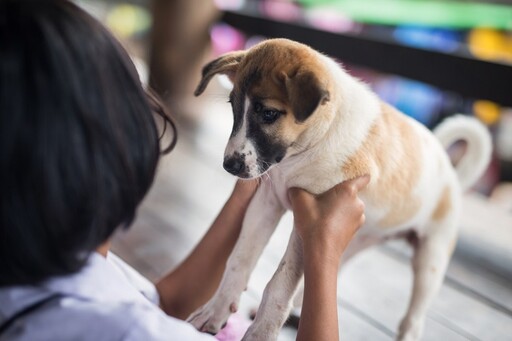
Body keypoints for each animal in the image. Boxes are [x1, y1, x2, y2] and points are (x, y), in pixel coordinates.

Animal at [187, 38, 492, 338]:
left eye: (269, 114)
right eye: (234, 108)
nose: (230, 165)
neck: (312, 144)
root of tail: (451, 173)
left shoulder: (309, 219)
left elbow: (278, 286)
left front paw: (261, 333)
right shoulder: (268, 203)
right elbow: (239, 259)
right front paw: (215, 311)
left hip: (431, 260)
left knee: (413, 322)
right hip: (357, 238)